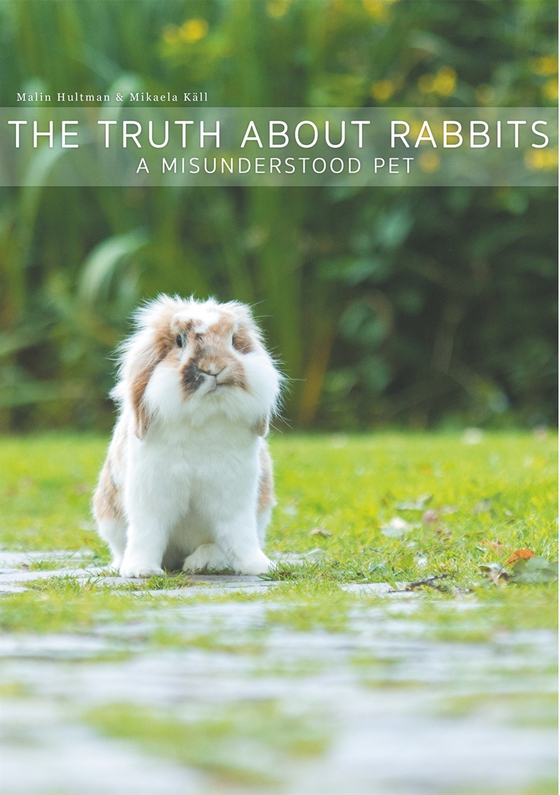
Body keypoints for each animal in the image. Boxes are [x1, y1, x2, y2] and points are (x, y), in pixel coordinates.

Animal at [93, 294, 282, 578]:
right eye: (180, 341)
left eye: (233, 340)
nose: (214, 368)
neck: (203, 417)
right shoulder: (150, 493)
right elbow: (147, 532)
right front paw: (140, 570)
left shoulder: (234, 496)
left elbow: (238, 533)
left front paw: (258, 566)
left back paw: (203, 562)